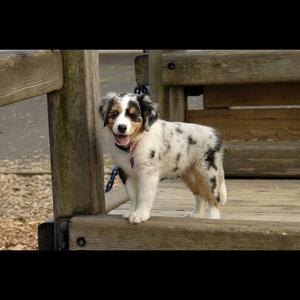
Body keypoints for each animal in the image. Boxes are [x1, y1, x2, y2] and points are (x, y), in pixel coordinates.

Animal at [99, 92, 226, 224]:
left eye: (133, 115)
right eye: (114, 113)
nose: (121, 127)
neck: (134, 143)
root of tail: (215, 134)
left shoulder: (148, 172)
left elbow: (144, 195)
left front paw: (140, 215)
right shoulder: (126, 172)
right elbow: (133, 195)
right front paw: (131, 212)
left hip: (207, 171)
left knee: (214, 198)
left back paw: (213, 219)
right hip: (190, 173)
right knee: (200, 195)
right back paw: (197, 215)